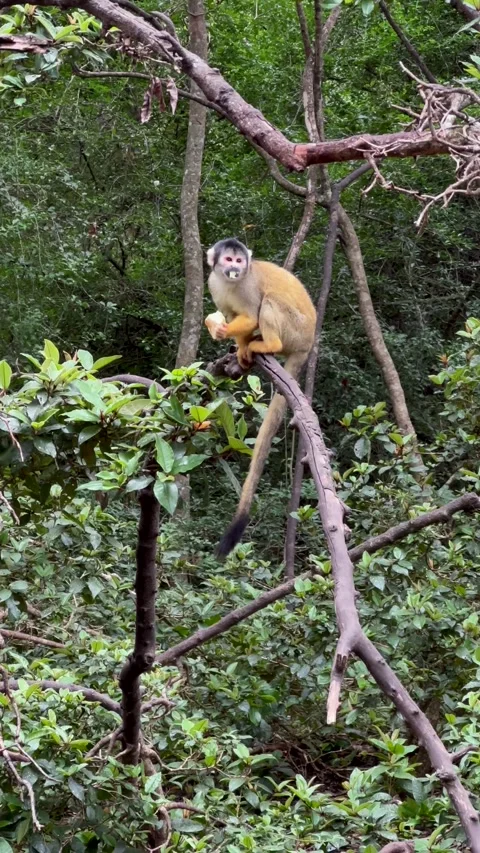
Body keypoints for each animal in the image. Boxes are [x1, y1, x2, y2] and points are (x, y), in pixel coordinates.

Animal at [205, 237, 316, 557]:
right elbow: (233, 315)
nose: (234, 269)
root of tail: (308, 344)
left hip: (295, 330)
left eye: (239, 262)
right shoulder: (213, 282)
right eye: (228, 259)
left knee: (269, 302)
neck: (231, 283)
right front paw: (234, 342)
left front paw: (225, 331)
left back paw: (268, 344)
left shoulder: (247, 285)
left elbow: (251, 314)